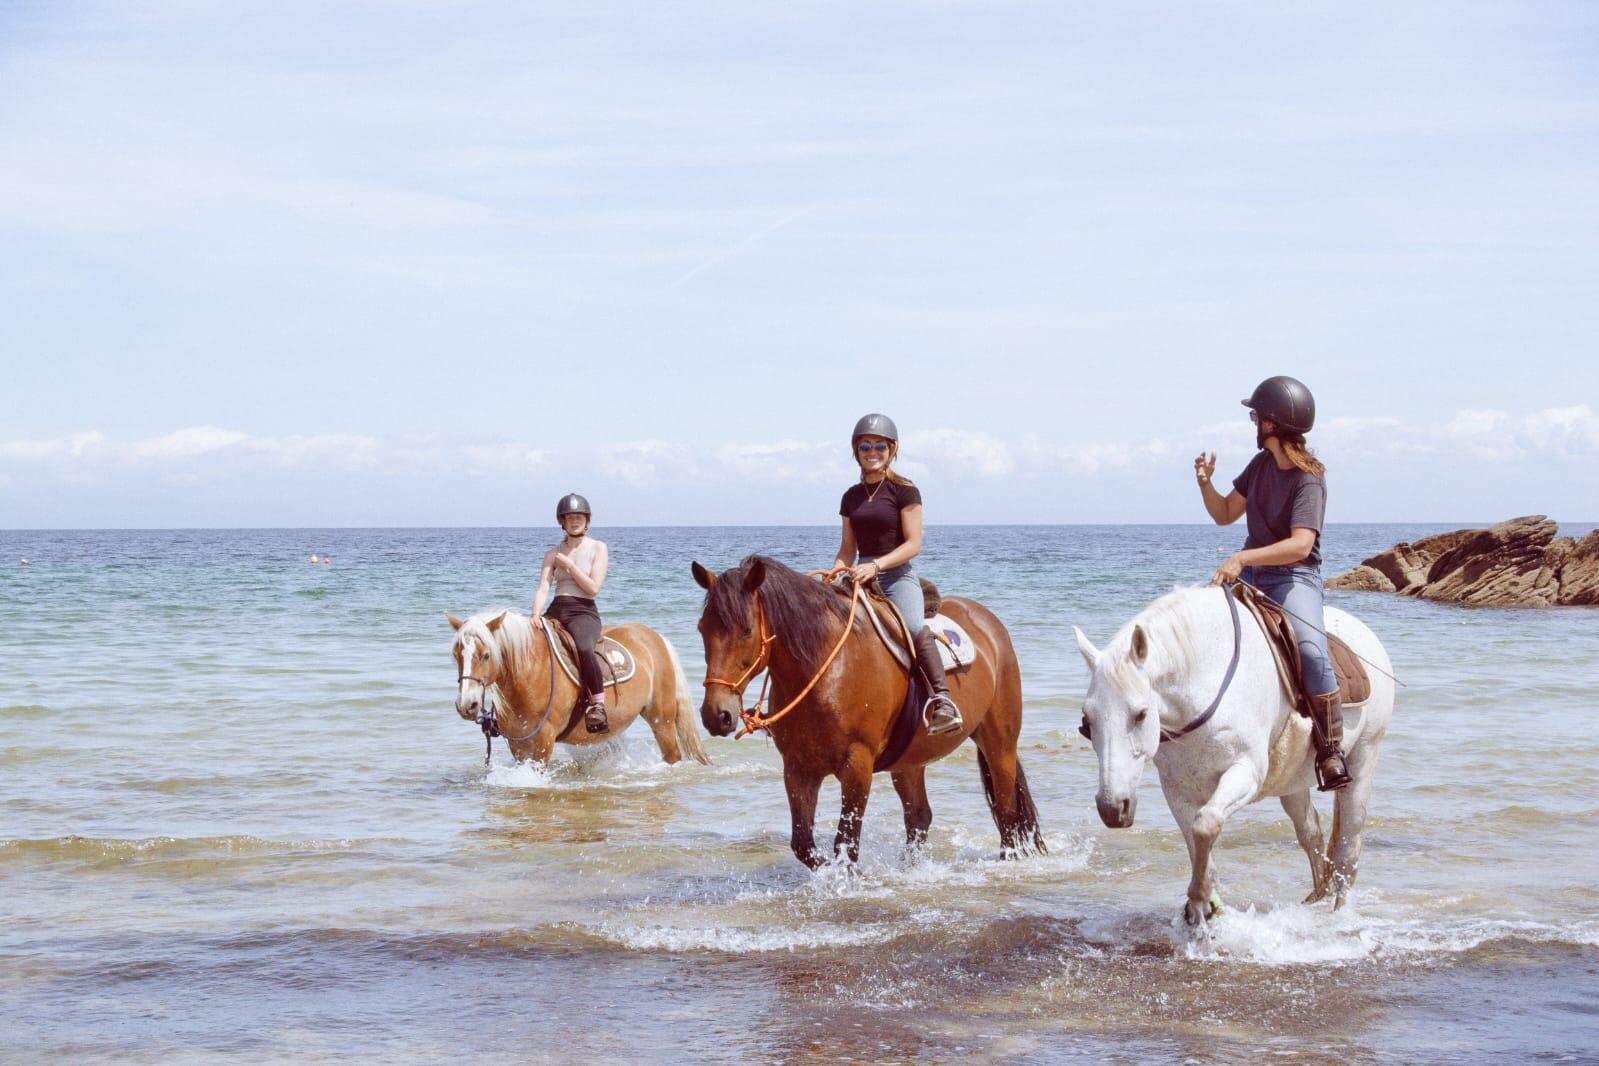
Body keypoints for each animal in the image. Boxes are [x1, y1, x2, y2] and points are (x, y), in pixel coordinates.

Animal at [447, 609, 710, 767]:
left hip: (661, 719)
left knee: (672, 754)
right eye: (456, 655)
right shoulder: (518, 744)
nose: (466, 705)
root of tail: (656, 638)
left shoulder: (545, 738)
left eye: (485, 655)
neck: (530, 671)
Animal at [690, 555, 1044, 868]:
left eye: (746, 630)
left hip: (999, 744)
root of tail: (988, 622)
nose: (716, 714)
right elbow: (803, 844)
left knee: (1006, 811)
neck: (825, 667)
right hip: (909, 761)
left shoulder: (857, 765)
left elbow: (846, 842)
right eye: (702, 628)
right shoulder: (798, 768)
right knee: (919, 816)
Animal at [1072, 586, 1395, 925]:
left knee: (1349, 847)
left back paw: (1340, 915)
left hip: (1363, 761)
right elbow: (1196, 841)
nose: (1112, 809)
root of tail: (1368, 637)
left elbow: (1206, 824)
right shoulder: (1177, 789)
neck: (1204, 681)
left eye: (1141, 714)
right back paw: (1318, 894)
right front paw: (1205, 908)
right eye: (1087, 720)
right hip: (1292, 783)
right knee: (1311, 832)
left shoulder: (1245, 772)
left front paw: (1200, 897)